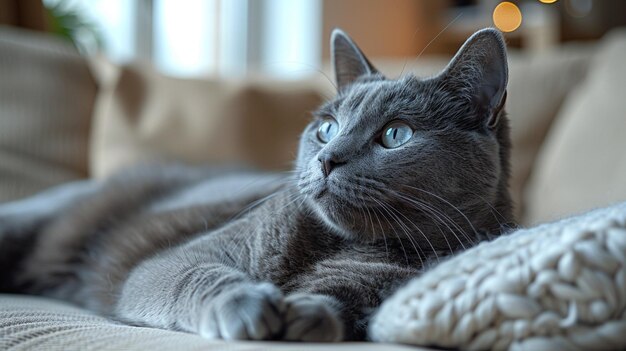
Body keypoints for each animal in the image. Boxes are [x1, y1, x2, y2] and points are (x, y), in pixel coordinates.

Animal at [0, 28, 512, 342]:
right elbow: (191, 272)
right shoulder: (182, 259)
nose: (327, 158)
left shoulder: (381, 289)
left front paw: (308, 312)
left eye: (395, 135)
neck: (348, 245)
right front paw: (246, 302)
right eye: (327, 128)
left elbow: (347, 308)